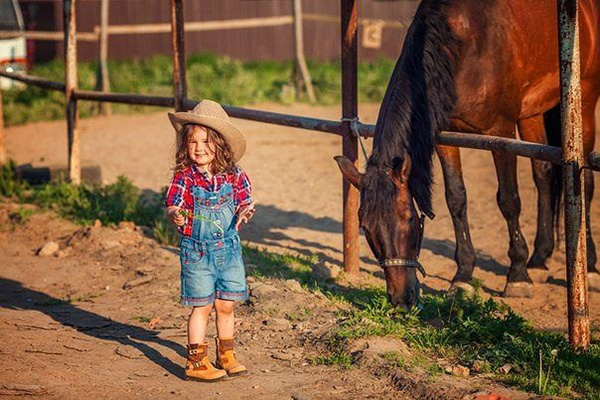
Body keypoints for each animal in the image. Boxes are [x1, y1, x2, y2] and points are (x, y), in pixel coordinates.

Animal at [336, 0, 596, 310]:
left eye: (409, 219)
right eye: (365, 226)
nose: (401, 299)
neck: (464, 44)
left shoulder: (500, 131)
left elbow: (509, 200)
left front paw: (517, 276)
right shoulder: (444, 136)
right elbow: (456, 199)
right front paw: (462, 277)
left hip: (585, 103)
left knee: (586, 183)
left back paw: (589, 265)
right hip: (532, 113)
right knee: (543, 175)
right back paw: (539, 258)